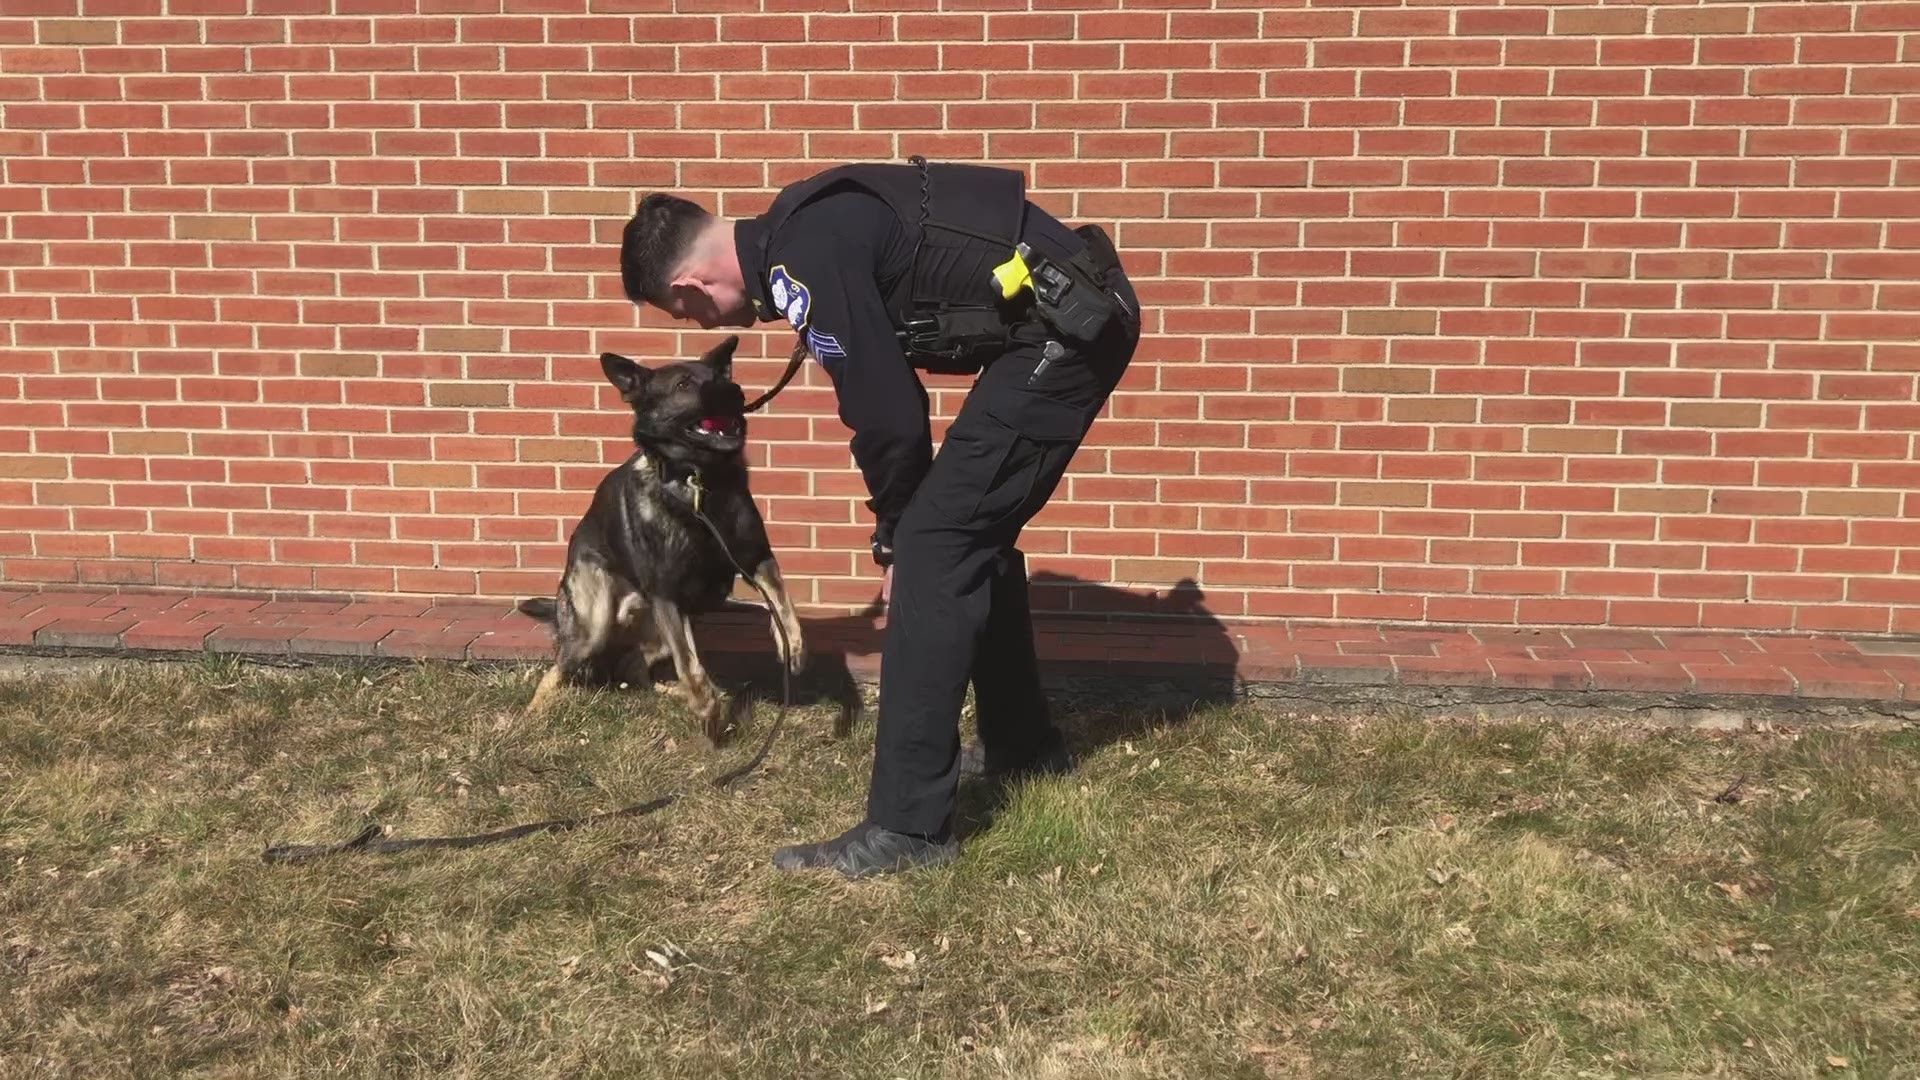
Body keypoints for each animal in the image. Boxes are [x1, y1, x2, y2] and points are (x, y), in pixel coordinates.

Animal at [514, 334, 806, 737]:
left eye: (722, 376)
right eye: (684, 384)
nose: (734, 392)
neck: (699, 481)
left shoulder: (756, 559)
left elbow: (781, 601)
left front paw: (791, 645)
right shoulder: (668, 595)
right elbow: (690, 664)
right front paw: (706, 707)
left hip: (666, 626)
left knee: (633, 667)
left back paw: (673, 694)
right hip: (595, 626)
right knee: (558, 669)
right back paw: (532, 714)